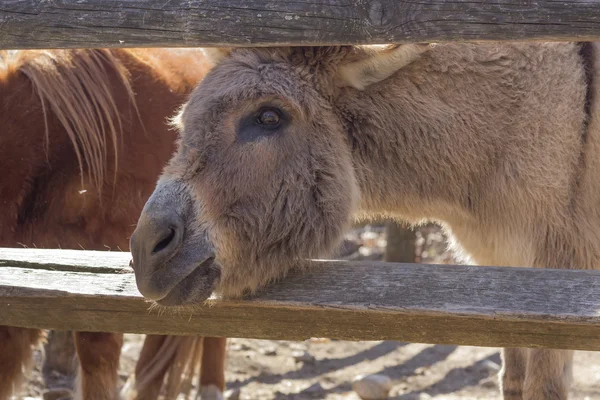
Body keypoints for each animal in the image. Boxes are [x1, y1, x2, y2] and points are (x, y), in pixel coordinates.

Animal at [131, 42, 600, 398]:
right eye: (183, 123)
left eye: (268, 117)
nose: (145, 250)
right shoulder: (507, 280)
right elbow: (513, 382)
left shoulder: (553, 284)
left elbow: (542, 387)